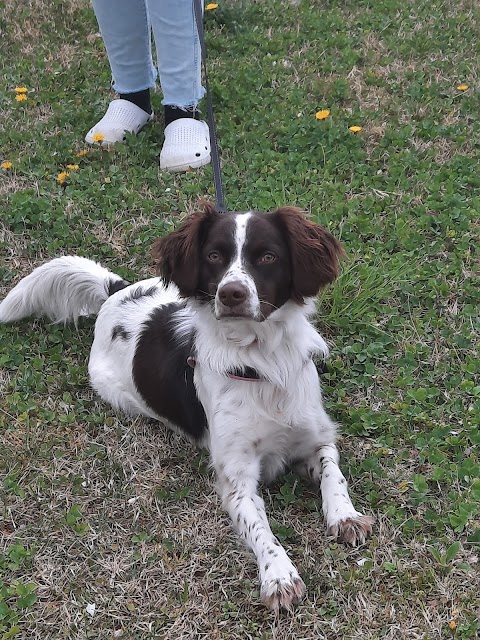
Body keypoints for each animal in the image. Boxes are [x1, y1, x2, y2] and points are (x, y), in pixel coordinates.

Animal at [0, 205, 374, 608]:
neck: (260, 362)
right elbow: (259, 528)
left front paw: (345, 516)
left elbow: (334, 474)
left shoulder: (316, 436)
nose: (231, 294)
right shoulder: (237, 476)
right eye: (214, 256)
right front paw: (278, 575)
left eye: (268, 257)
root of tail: (116, 292)